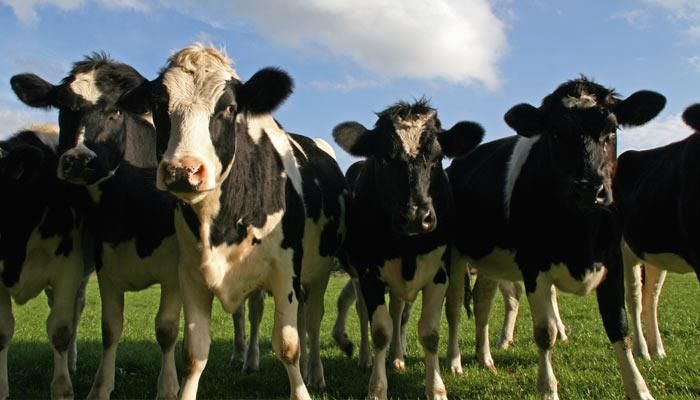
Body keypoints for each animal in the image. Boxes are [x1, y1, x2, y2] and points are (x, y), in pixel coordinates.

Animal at [0, 125, 87, 400]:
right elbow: (3, 331)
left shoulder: (69, 271)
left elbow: (60, 331)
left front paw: (62, 389)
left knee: (76, 314)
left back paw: (72, 362)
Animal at [115, 44, 348, 400]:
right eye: (158, 104)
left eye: (229, 107)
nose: (182, 170)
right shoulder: (191, 275)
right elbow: (194, 352)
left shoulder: (286, 271)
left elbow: (288, 344)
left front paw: (302, 390)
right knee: (256, 313)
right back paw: (249, 360)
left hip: (317, 272)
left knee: (311, 320)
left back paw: (316, 373)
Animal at [333, 99, 484, 400]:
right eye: (383, 158)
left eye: (438, 158)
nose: (416, 216)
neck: (407, 247)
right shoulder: (368, 273)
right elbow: (380, 329)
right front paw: (377, 389)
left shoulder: (439, 272)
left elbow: (430, 333)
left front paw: (436, 388)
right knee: (368, 313)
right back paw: (370, 358)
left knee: (430, 311)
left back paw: (425, 359)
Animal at [446, 77, 665, 399]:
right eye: (556, 134)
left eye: (612, 129)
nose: (590, 190)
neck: (580, 237)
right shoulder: (533, 267)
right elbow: (545, 332)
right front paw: (548, 388)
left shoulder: (613, 261)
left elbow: (619, 326)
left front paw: (639, 389)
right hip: (454, 255)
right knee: (453, 307)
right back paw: (454, 362)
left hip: (489, 260)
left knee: (483, 302)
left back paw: (485, 359)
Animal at [615, 103, 700, 360]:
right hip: (626, 249)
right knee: (634, 298)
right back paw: (642, 350)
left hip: (654, 254)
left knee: (651, 297)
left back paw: (658, 348)